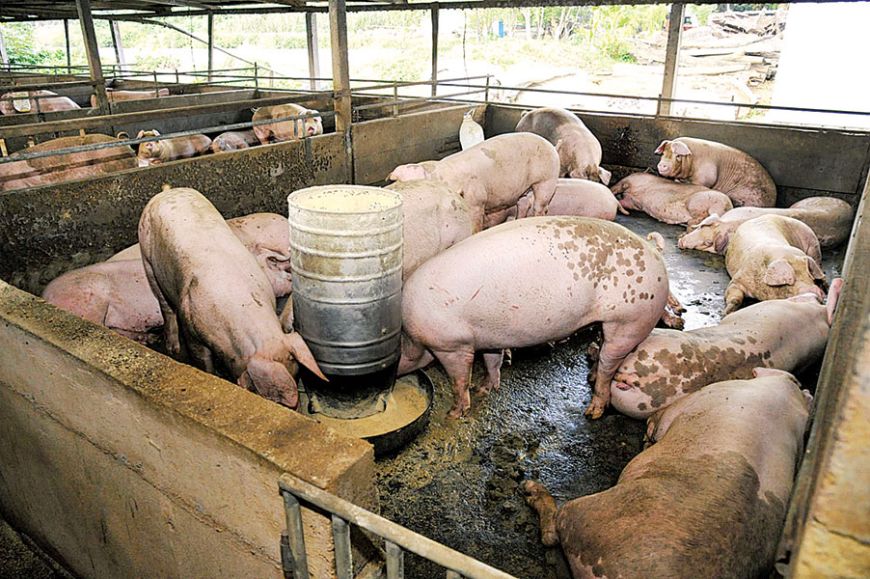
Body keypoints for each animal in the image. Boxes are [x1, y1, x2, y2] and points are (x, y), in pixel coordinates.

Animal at [139, 188, 325, 408]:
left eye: (297, 375)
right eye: (267, 395)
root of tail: (168, 191)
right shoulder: (191, 325)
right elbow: (202, 359)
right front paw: (212, 376)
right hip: (147, 257)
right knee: (165, 306)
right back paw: (173, 349)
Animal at [387, 133, 560, 232]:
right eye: (395, 181)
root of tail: (551, 146)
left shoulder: (476, 201)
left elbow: (475, 225)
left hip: (547, 180)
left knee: (540, 206)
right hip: (523, 188)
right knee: (523, 204)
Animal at [398, 216, 670, 419]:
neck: (411, 338)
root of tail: (652, 249)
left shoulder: (452, 345)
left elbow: (459, 380)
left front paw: (455, 413)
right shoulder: (488, 338)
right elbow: (492, 362)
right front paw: (484, 389)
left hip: (630, 321)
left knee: (609, 363)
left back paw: (592, 411)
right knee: (603, 349)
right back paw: (591, 377)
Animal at [523, 368, 811, 579]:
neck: (784, 396)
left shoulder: (698, 398)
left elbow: (662, 420)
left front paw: (648, 436)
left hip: (586, 516)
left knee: (551, 532)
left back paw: (530, 488)